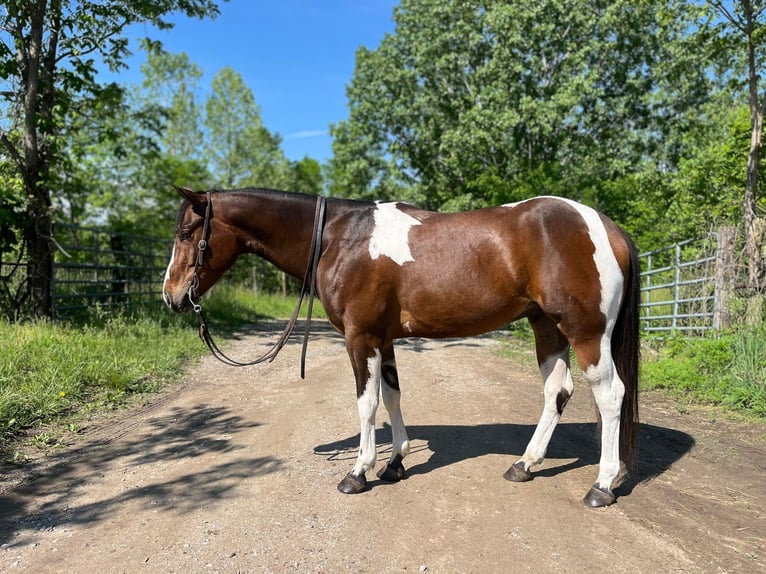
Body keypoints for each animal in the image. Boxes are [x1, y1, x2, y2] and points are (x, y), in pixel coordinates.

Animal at [162, 187, 640, 507]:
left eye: (187, 232)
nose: (171, 297)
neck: (338, 237)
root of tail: (605, 225)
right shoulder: (384, 339)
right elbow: (391, 396)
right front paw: (395, 463)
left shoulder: (360, 338)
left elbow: (367, 403)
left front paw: (359, 471)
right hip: (547, 328)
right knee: (557, 392)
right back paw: (524, 465)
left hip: (585, 332)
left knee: (610, 395)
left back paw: (601, 485)